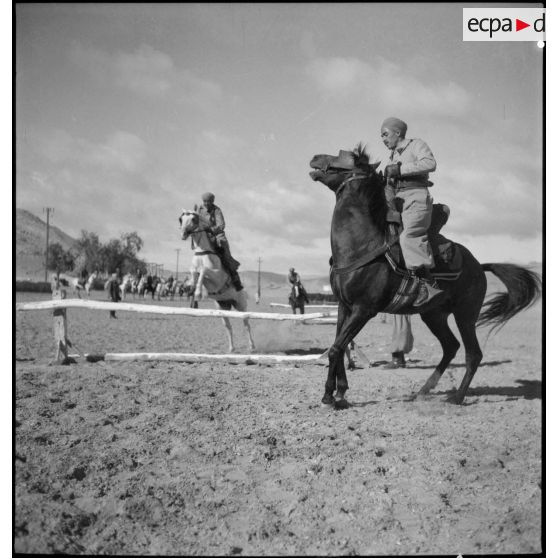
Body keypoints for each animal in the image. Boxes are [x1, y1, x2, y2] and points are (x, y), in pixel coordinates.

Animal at [179, 210, 256, 354]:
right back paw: (231, 348)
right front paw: (191, 288)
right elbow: (194, 272)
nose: (183, 233)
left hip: (241, 305)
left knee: (246, 324)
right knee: (228, 326)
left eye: (193, 219)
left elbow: (203, 270)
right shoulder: (197, 272)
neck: (202, 252)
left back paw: (252, 347)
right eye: (181, 219)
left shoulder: (217, 278)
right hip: (222, 308)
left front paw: (197, 293)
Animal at [310, 144, 544, 406]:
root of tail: (478, 266)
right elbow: (338, 347)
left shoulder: (364, 310)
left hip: (465, 315)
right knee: (451, 346)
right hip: (434, 315)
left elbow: (336, 348)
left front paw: (329, 396)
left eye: (349, 157)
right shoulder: (344, 306)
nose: (315, 158)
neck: (360, 246)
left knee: (473, 353)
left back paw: (456, 397)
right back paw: (423, 390)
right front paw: (339, 392)